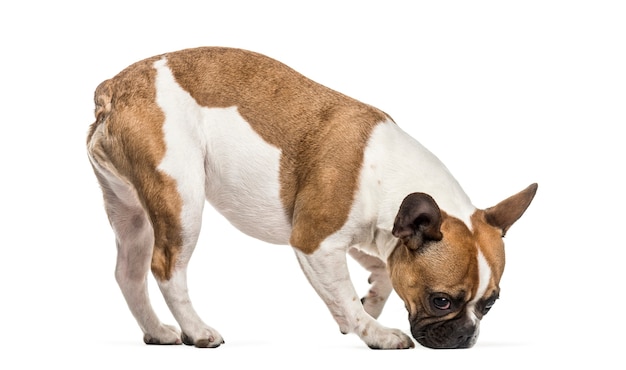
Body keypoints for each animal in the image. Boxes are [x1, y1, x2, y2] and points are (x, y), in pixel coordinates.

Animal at [86, 47, 536, 350]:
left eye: (490, 305)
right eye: (441, 301)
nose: (466, 336)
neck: (386, 173)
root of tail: (115, 88)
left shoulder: (364, 238)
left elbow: (380, 272)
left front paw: (368, 304)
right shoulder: (314, 242)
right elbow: (345, 293)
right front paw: (373, 331)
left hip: (130, 210)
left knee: (128, 272)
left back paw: (156, 330)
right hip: (181, 201)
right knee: (167, 269)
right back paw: (196, 330)